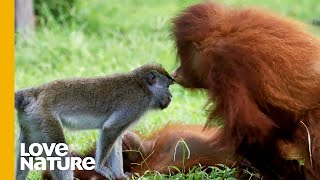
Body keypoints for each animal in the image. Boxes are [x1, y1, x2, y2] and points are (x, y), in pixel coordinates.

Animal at [14, 63, 175, 179]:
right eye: (167, 86)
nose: (171, 96)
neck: (143, 87)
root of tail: (36, 91)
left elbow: (116, 138)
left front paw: (121, 175)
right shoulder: (135, 105)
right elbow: (110, 129)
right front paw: (99, 168)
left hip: (32, 119)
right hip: (45, 116)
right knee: (58, 148)